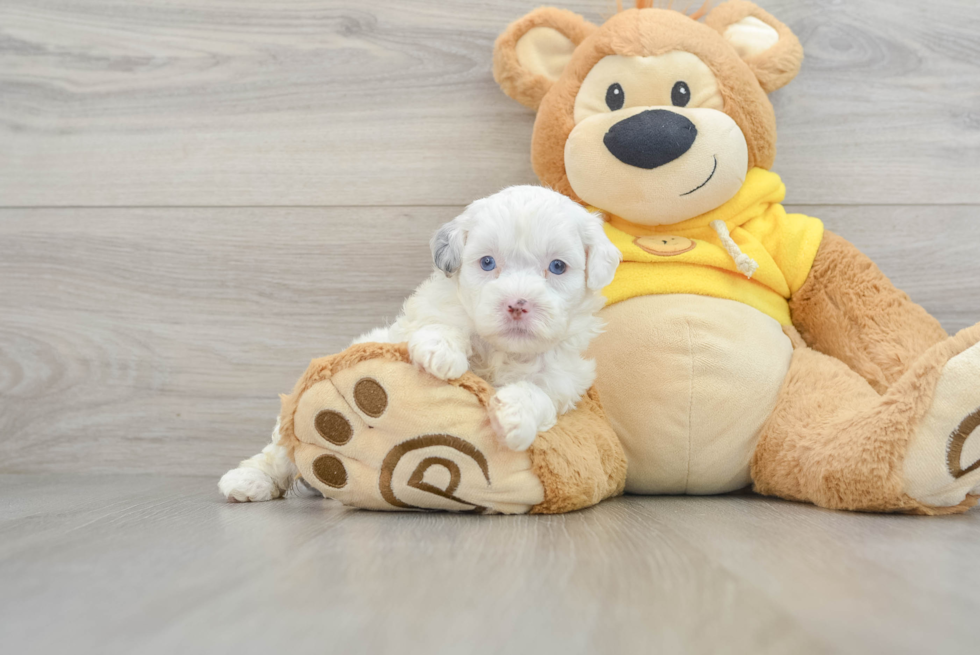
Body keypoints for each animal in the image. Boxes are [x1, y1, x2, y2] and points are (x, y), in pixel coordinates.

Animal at [222, 187, 620, 504]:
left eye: (557, 267)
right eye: (487, 262)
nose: (517, 304)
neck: (501, 350)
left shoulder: (563, 376)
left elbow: (539, 392)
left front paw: (515, 415)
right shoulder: (429, 315)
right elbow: (442, 324)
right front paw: (441, 353)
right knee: (279, 451)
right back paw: (249, 480)